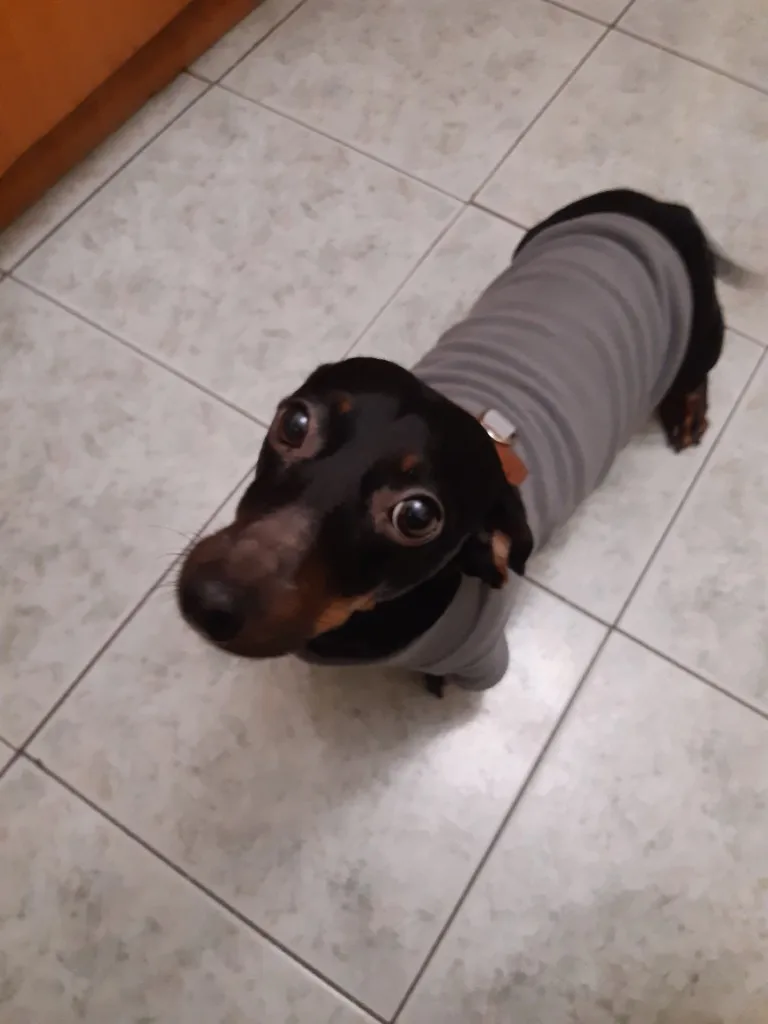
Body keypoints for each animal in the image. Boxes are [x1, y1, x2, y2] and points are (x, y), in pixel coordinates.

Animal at [178, 189, 749, 696]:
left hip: (702, 331)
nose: (210, 600)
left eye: (416, 516)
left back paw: (687, 410)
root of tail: (661, 208)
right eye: (294, 423)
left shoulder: (480, 658)